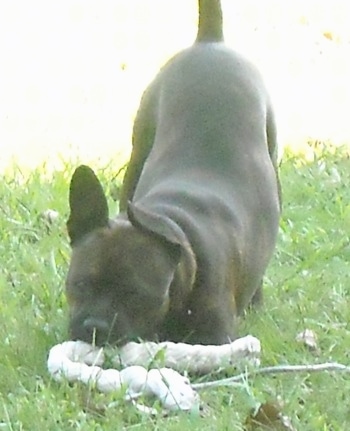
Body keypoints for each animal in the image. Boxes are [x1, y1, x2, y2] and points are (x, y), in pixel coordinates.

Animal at [64, 0, 280, 348]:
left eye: (135, 295)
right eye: (79, 285)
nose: (95, 326)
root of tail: (209, 41)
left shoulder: (216, 338)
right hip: (139, 150)